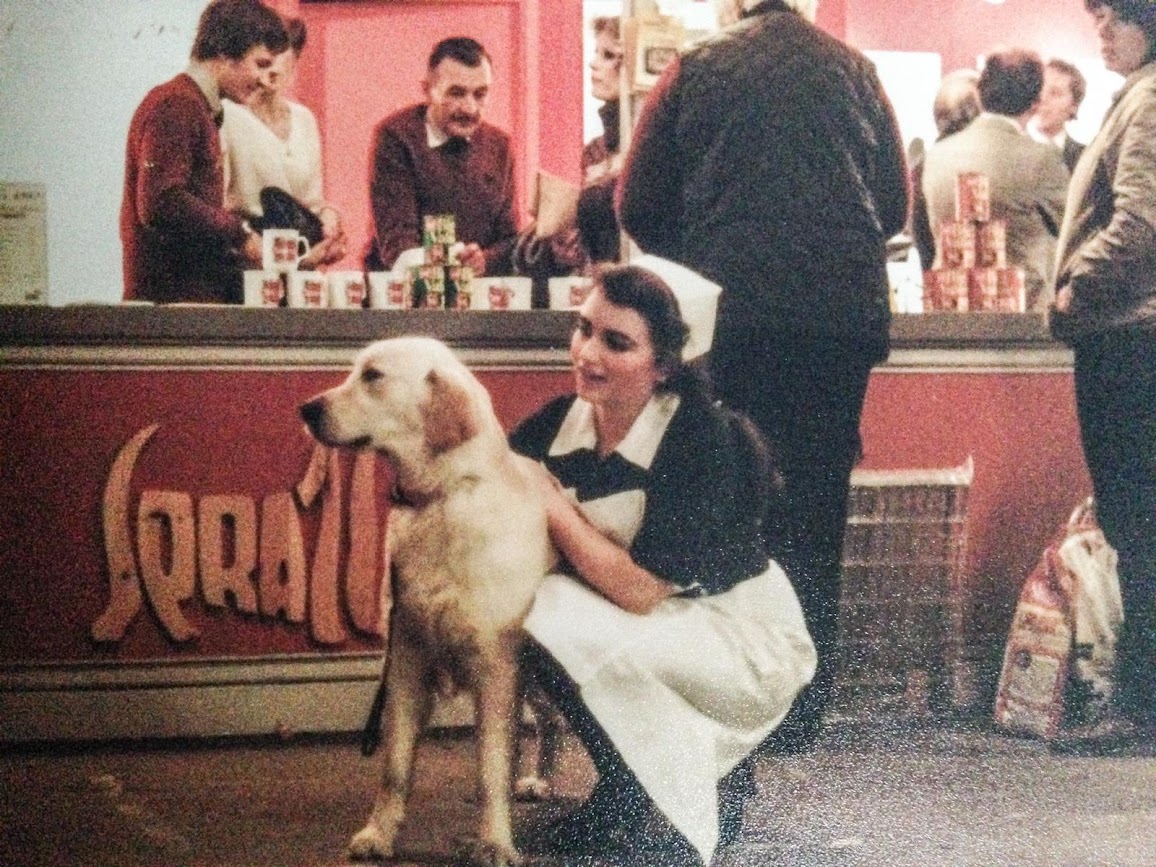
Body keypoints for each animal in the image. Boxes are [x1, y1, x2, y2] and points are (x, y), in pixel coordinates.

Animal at [300, 337, 557, 867]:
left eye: (373, 376)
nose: (306, 409)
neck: (439, 498)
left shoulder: (496, 667)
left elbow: (490, 766)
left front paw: (496, 842)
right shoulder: (406, 660)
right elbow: (396, 766)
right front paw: (380, 834)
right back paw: (533, 780)